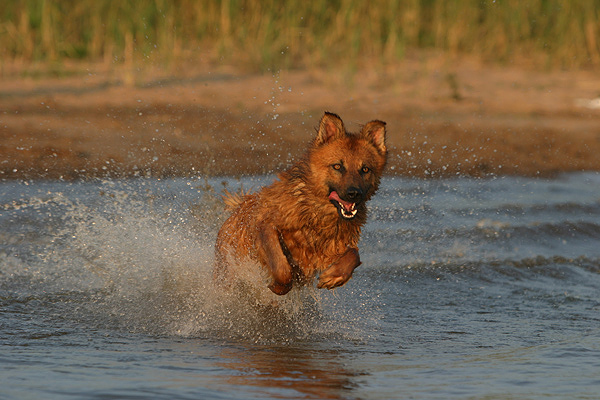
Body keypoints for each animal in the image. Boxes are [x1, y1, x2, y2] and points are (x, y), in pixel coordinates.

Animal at [213, 111, 386, 296]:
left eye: (365, 169)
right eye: (338, 166)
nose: (354, 194)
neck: (314, 211)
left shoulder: (326, 250)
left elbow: (354, 253)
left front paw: (334, 276)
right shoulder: (266, 225)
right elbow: (280, 265)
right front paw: (280, 286)